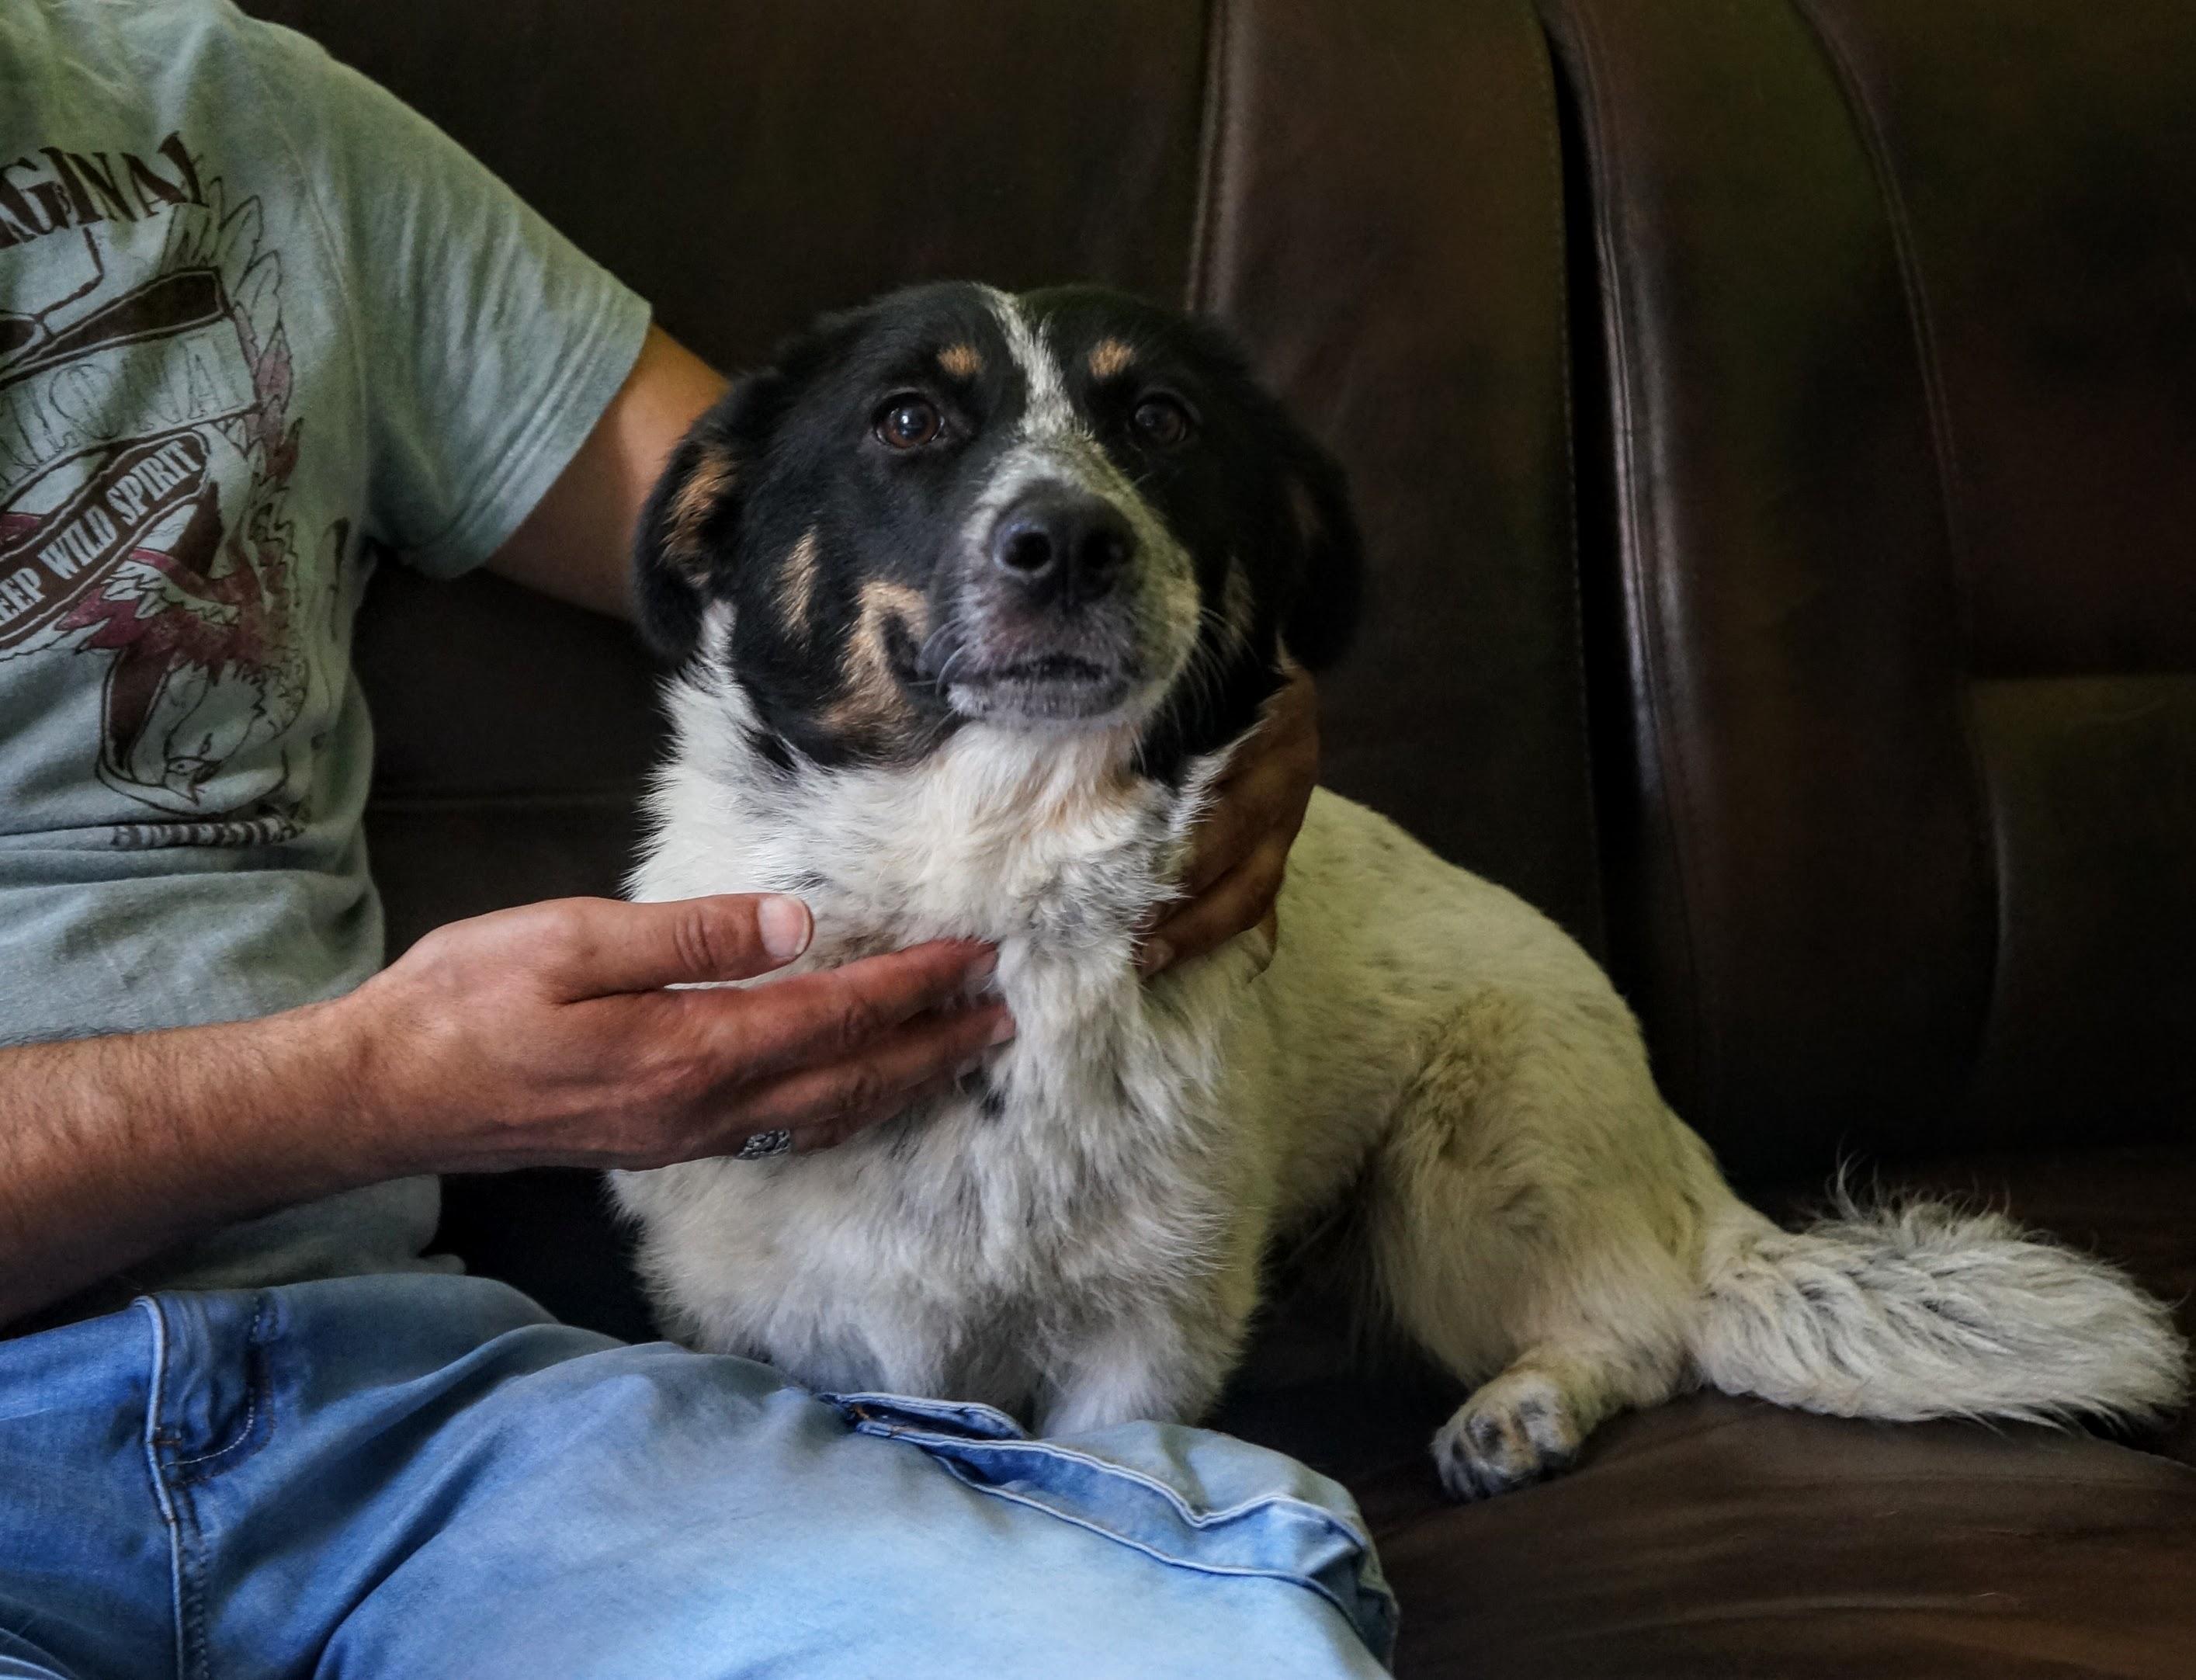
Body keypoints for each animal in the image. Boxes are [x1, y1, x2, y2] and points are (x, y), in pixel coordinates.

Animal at [611, 281, 2187, 1499]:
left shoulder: (1147, 1334)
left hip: (1466, 1171)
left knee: (1650, 1328)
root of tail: (1684, 1161)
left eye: (1160, 421)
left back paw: (1526, 1406)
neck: (999, 888)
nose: (1067, 541)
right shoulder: (764, 1324)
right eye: (905, 421)